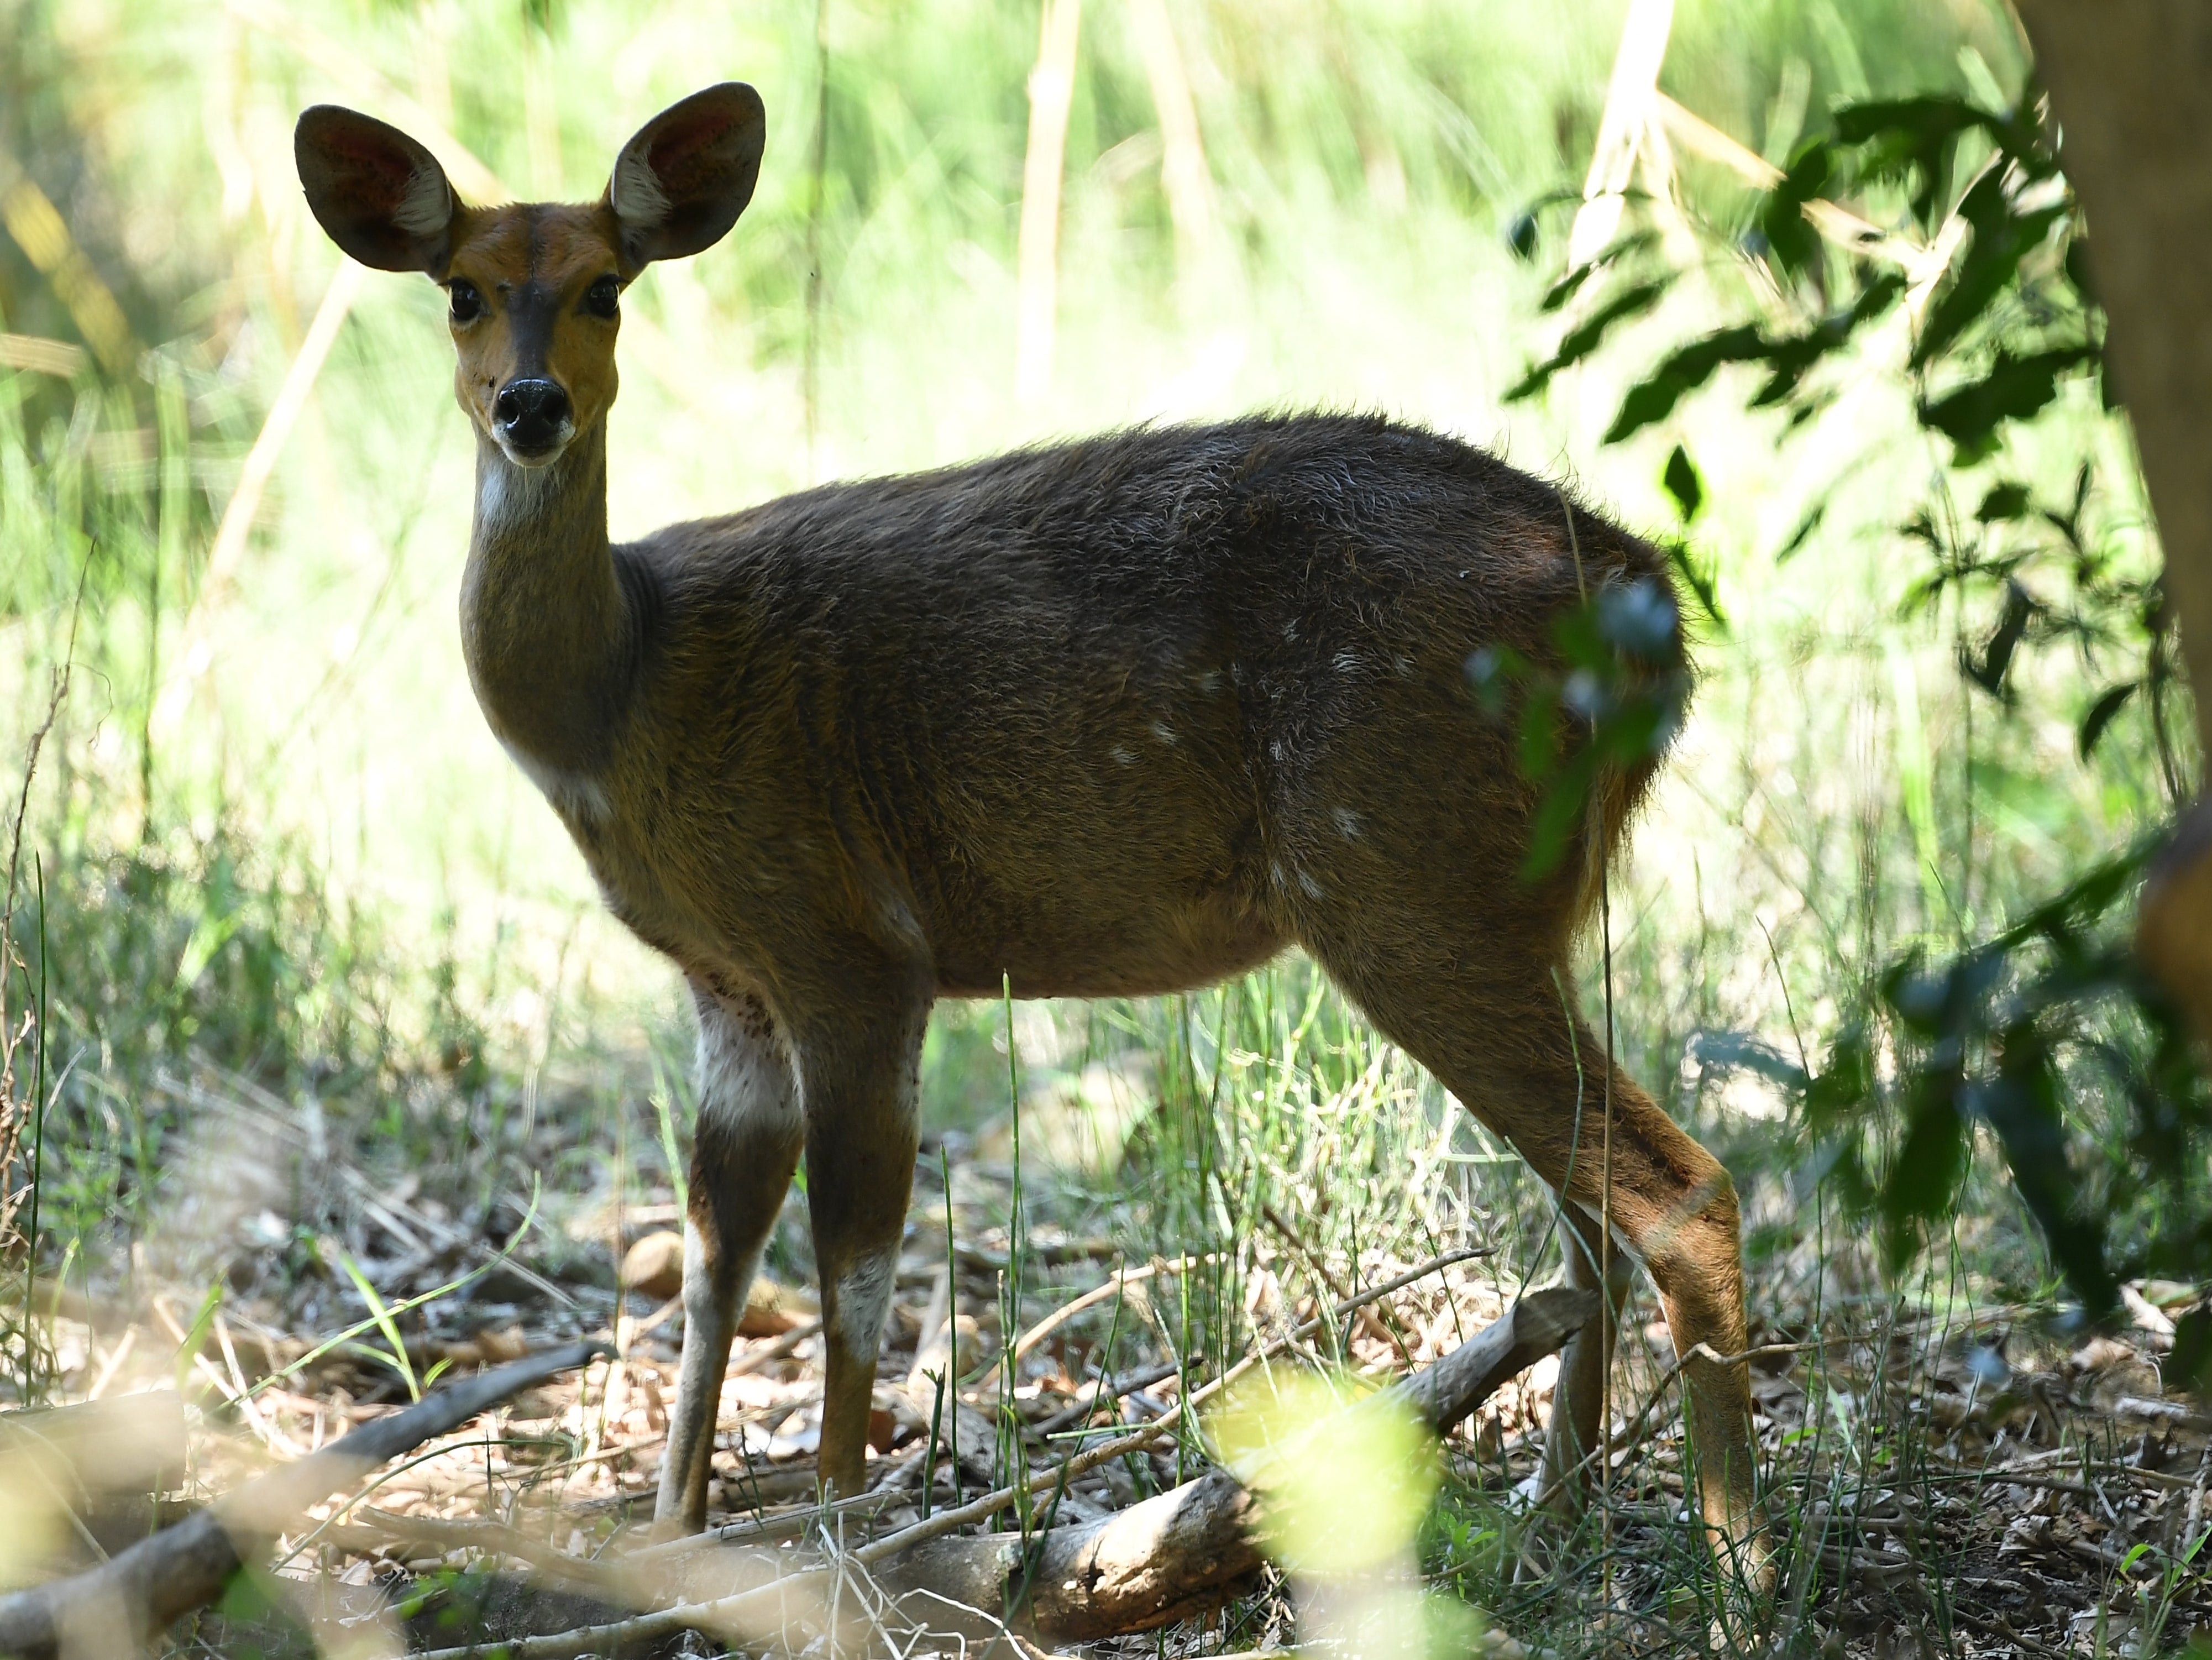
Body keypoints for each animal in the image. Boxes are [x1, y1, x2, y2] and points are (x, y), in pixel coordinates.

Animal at [294, 85, 1769, 1575]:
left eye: (607, 286)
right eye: (462, 291)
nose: (529, 405)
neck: (622, 693)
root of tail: (1649, 604)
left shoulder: (846, 943)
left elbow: (854, 1268)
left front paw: (838, 1528)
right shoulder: (728, 987)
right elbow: (713, 1263)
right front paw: (672, 1534)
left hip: (1402, 872)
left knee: (1677, 1188)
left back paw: (1736, 1568)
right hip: (1515, 894)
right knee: (1582, 1208)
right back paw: (1560, 1508)